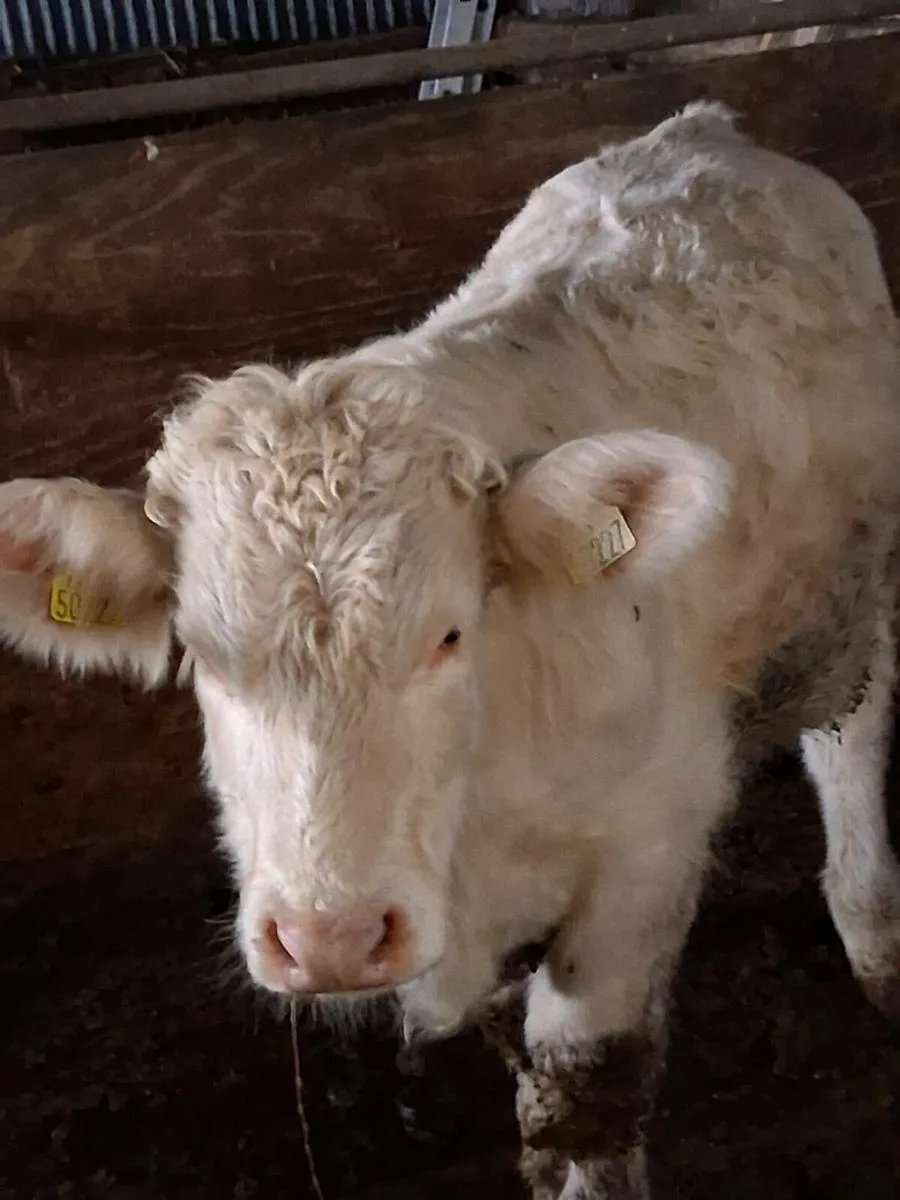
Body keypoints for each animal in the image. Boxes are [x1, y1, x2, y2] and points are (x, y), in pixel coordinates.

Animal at [1, 103, 900, 1198]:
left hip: (863, 574)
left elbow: (583, 1100)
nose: (331, 939)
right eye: (203, 655)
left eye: (449, 633)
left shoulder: (653, 841)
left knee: (853, 733)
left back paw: (874, 931)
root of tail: (705, 132)